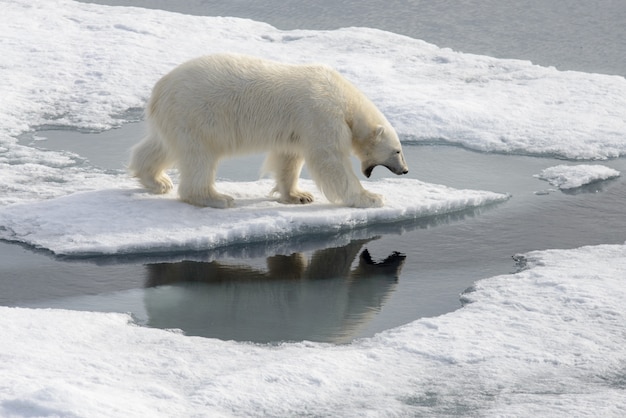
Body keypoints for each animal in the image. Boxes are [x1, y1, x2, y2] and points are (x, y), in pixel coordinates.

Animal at [129, 53, 408, 208]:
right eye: (397, 151)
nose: (405, 170)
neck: (345, 100)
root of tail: (160, 89)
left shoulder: (296, 128)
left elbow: (288, 158)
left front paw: (298, 195)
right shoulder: (321, 116)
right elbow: (330, 162)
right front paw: (371, 198)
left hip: (176, 119)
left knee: (160, 146)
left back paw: (157, 180)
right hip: (197, 114)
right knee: (199, 157)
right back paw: (217, 198)